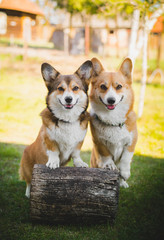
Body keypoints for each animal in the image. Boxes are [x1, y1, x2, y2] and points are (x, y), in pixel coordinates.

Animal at [19, 60, 93, 197]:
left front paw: (79, 163)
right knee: (29, 180)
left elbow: (76, 153)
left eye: (75, 88)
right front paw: (53, 162)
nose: (68, 99)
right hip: (27, 165)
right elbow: (53, 150)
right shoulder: (49, 137)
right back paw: (28, 193)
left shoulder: (79, 140)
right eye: (60, 88)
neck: (67, 119)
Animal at [89, 57, 138, 188]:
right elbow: (105, 155)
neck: (113, 119)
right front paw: (110, 165)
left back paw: (122, 183)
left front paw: (124, 173)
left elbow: (126, 158)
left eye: (119, 86)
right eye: (103, 86)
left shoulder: (131, 142)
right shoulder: (98, 142)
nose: (111, 100)